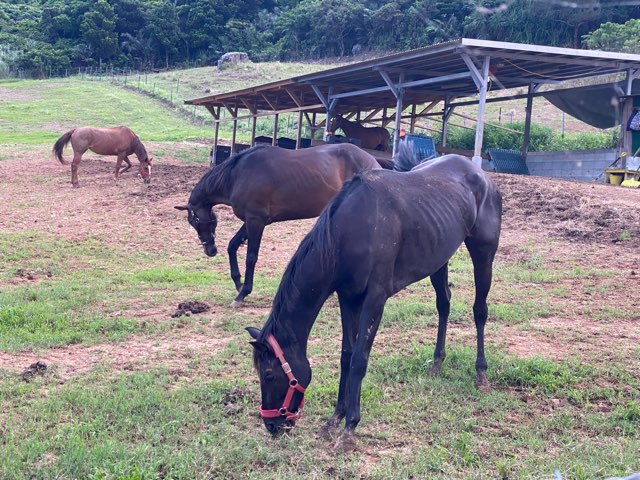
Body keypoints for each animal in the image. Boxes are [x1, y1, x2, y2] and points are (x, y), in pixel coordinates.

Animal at [175, 142, 382, 308]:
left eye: (193, 221)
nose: (210, 250)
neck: (237, 175)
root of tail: (373, 161)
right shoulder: (252, 220)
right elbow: (232, 246)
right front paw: (238, 283)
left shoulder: (256, 220)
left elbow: (251, 257)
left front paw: (243, 293)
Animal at [248, 148, 502, 452]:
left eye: (269, 375)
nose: (272, 425)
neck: (348, 231)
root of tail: (481, 175)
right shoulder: (347, 298)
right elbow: (346, 355)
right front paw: (335, 418)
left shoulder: (375, 300)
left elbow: (359, 359)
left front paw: (350, 427)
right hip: (439, 258)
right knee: (444, 304)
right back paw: (437, 362)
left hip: (483, 253)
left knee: (479, 310)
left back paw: (481, 373)